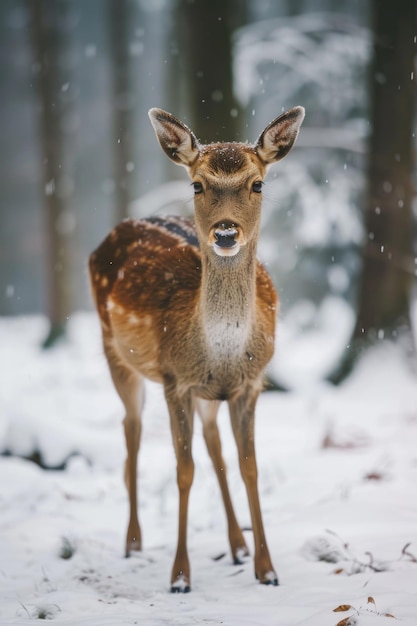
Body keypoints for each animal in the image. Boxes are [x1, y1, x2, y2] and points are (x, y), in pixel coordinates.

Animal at [89, 107, 304, 588]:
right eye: (196, 185)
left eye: (257, 183)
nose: (225, 233)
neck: (221, 350)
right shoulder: (175, 380)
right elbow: (183, 471)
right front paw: (180, 577)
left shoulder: (250, 382)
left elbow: (248, 465)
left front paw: (267, 570)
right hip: (114, 350)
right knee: (131, 428)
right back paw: (134, 541)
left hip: (208, 393)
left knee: (213, 442)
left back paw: (238, 546)